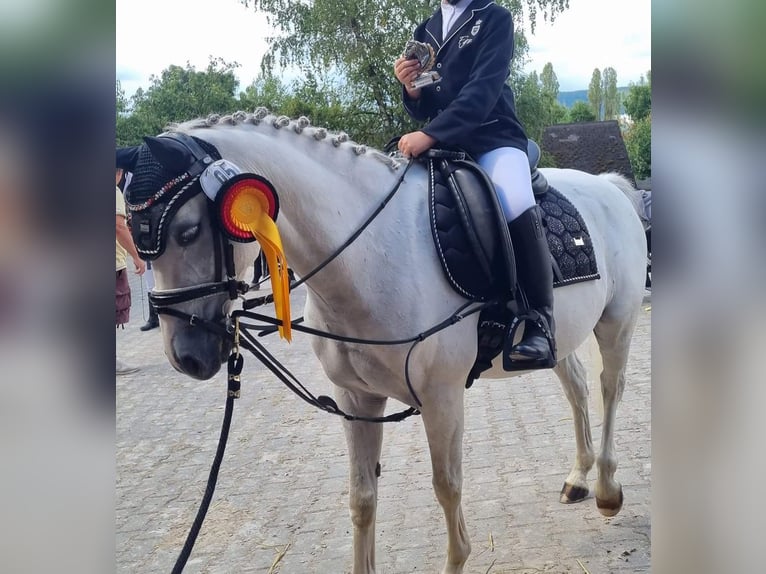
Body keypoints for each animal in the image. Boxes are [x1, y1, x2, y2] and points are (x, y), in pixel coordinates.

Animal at [124, 109, 648, 574]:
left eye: (188, 231)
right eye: (138, 238)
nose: (186, 356)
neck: (373, 253)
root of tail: (612, 186)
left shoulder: (441, 398)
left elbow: (447, 488)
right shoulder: (356, 399)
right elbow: (362, 497)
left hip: (616, 323)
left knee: (610, 389)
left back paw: (606, 488)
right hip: (558, 337)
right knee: (577, 388)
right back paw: (578, 478)